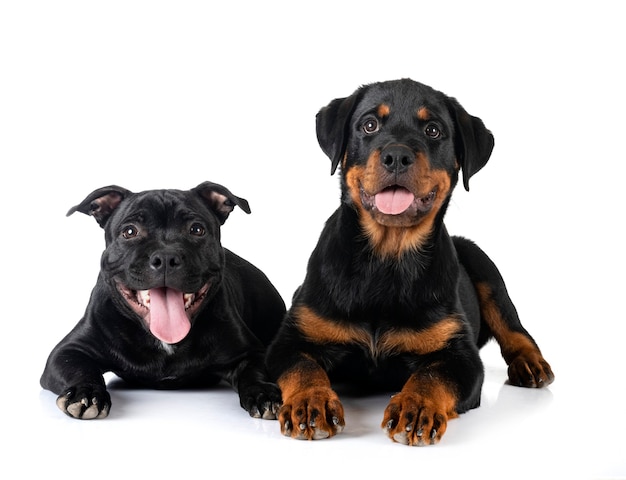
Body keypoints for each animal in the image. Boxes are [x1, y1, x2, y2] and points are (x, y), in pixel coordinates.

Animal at [39, 183, 282, 420]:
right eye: (129, 231)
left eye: (197, 229)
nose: (166, 257)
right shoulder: (67, 352)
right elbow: (81, 369)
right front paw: (86, 393)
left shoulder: (252, 353)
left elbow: (254, 372)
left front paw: (263, 393)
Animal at [264, 79, 552, 446]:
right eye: (369, 124)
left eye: (433, 130)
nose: (397, 156)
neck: (386, 257)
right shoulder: (291, 338)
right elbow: (304, 368)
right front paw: (310, 403)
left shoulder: (461, 356)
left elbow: (432, 376)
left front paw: (416, 409)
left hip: (483, 264)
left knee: (512, 326)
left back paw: (530, 364)